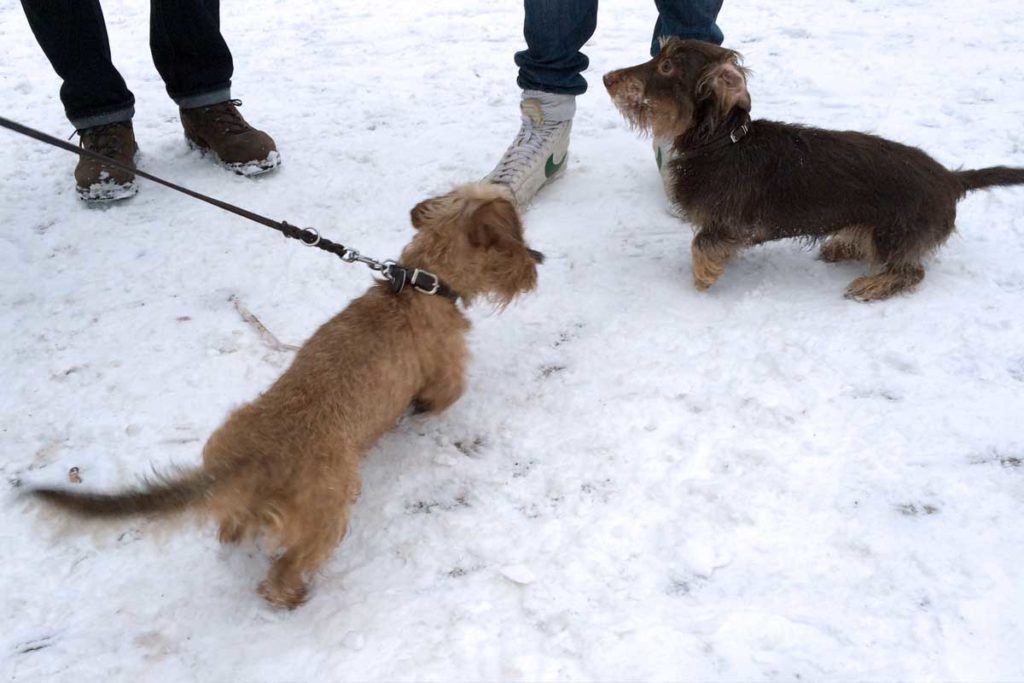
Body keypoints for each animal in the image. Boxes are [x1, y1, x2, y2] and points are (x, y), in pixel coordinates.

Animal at [28, 181, 544, 610]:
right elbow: (447, 395)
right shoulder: (448, 371)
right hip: (329, 514)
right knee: (283, 570)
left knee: (231, 528)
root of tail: (245, 459)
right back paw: (293, 596)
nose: (537, 263)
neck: (422, 285)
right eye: (512, 238)